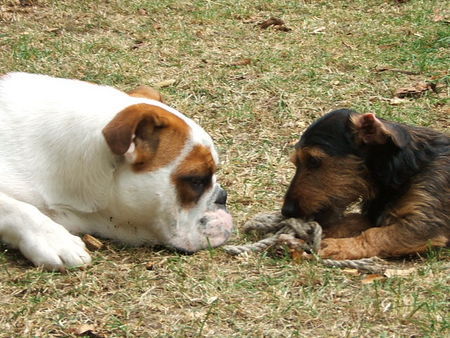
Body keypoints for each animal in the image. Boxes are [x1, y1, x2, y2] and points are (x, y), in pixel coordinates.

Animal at [284, 109, 448, 258]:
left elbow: (374, 234)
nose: (286, 211)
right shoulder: (373, 215)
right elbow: (350, 220)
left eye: (313, 160)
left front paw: (339, 246)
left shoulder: (424, 224)